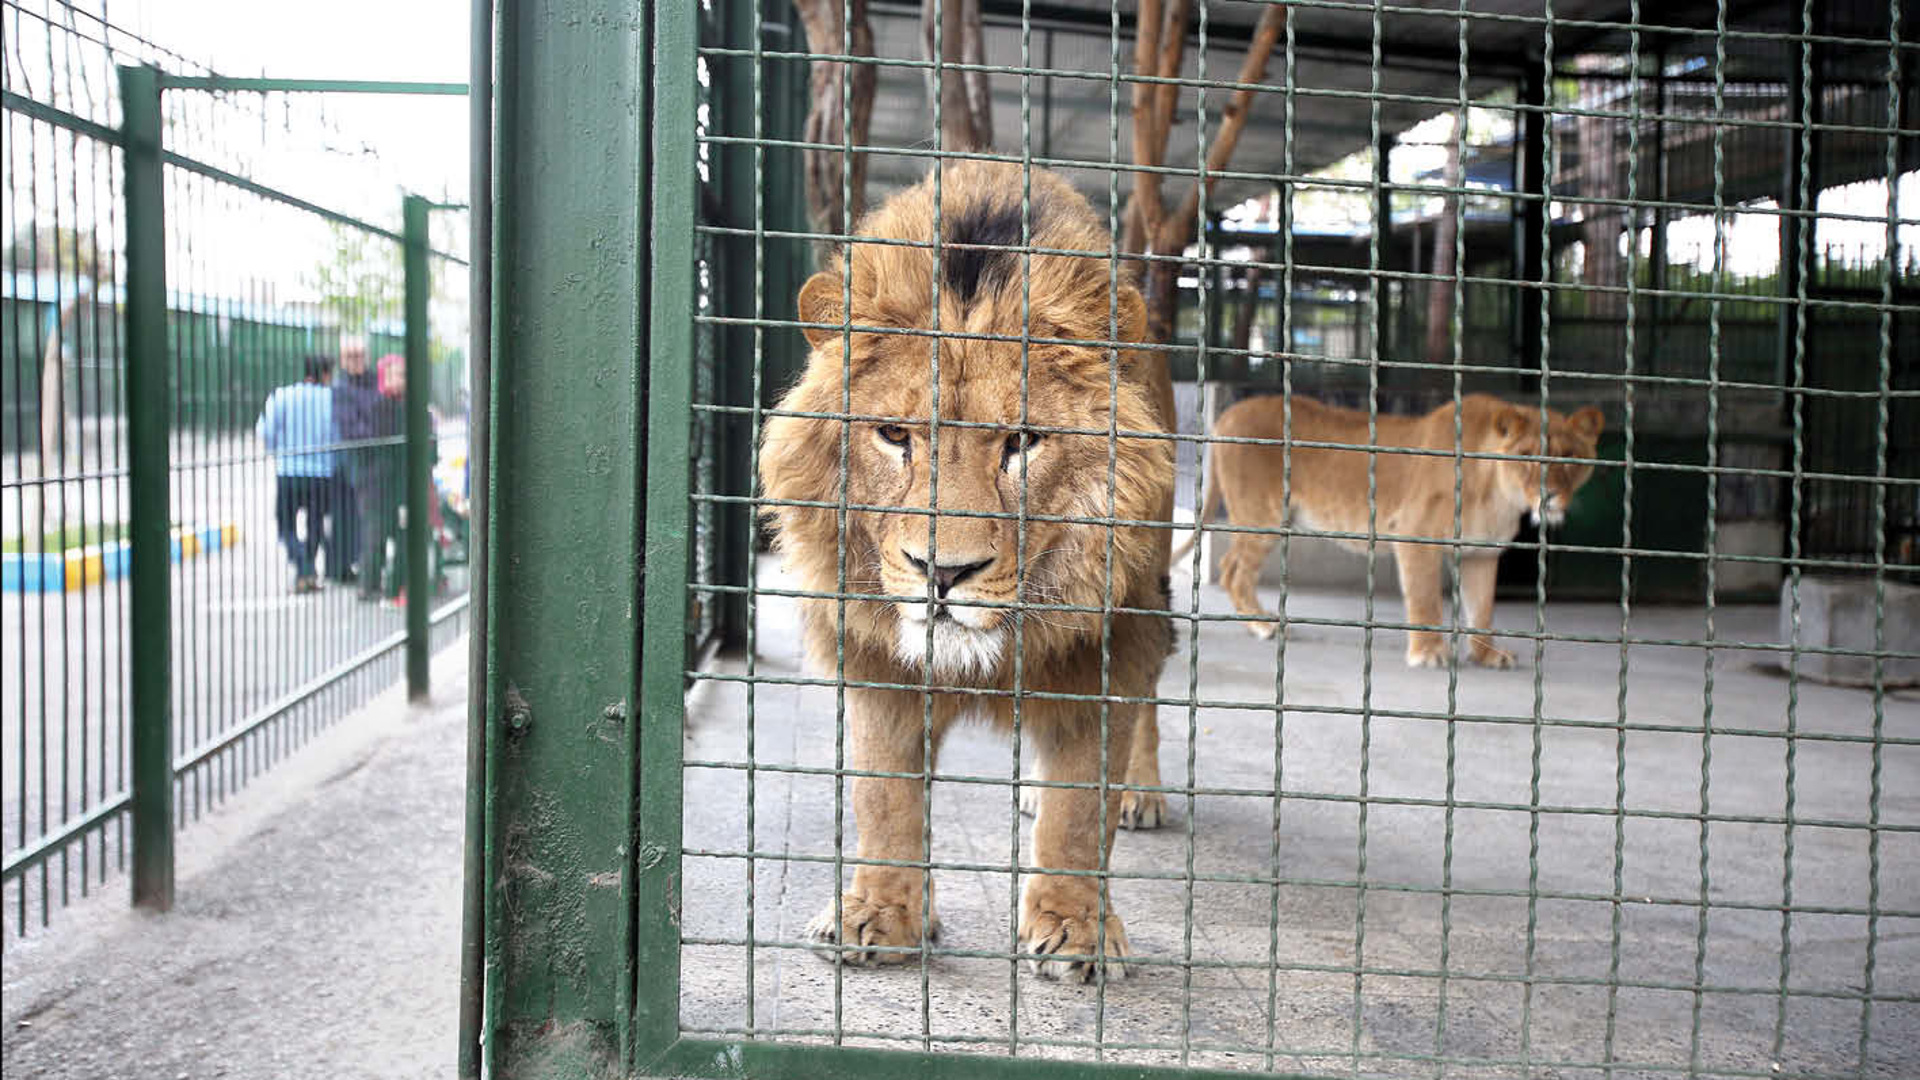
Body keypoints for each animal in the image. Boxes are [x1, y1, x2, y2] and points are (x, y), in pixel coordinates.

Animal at [760, 159, 1175, 976]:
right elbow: (883, 794)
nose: (941, 573)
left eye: (1021, 442)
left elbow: (1082, 807)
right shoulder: (876, 657)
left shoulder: (1107, 643)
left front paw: (1077, 928)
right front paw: (879, 915)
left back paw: (1140, 794)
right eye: (894, 436)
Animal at [1167, 393, 1605, 664]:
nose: (1550, 495)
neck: (1501, 495)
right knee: (1233, 571)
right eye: (1528, 455)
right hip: (1263, 515)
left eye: (1570, 457)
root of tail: (1226, 415)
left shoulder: (1481, 553)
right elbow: (1425, 600)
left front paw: (1486, 655)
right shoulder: (1415, 533)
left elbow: (1482, 610)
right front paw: (1428, 653)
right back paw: (1264, 625)